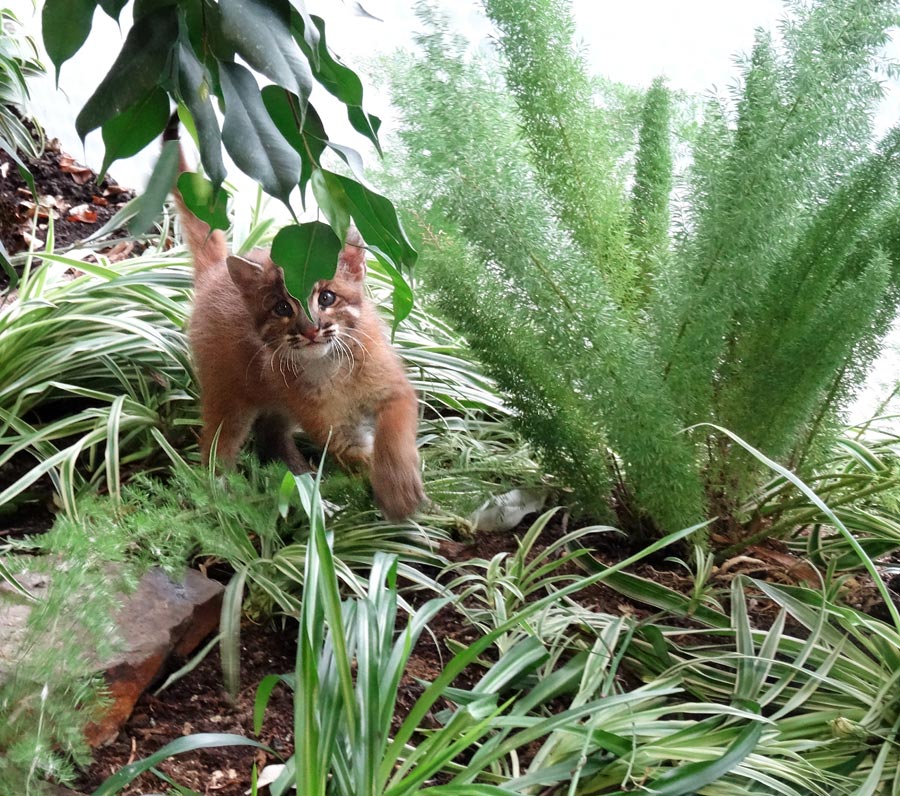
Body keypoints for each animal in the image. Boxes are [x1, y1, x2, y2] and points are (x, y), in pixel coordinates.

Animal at [171, 148, 426, 520]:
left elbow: (393, 434)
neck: (333, 367)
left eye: (327, 298)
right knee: (216, 448)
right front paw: (392, 492)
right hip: (229, 400)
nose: (310, 330)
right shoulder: (332, 427)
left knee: (269, 433)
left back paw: (301, 480)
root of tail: (216, 273)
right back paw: (225, 497)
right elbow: (360, 455)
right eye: (282, 308)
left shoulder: (393, 389)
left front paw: (398, 486)